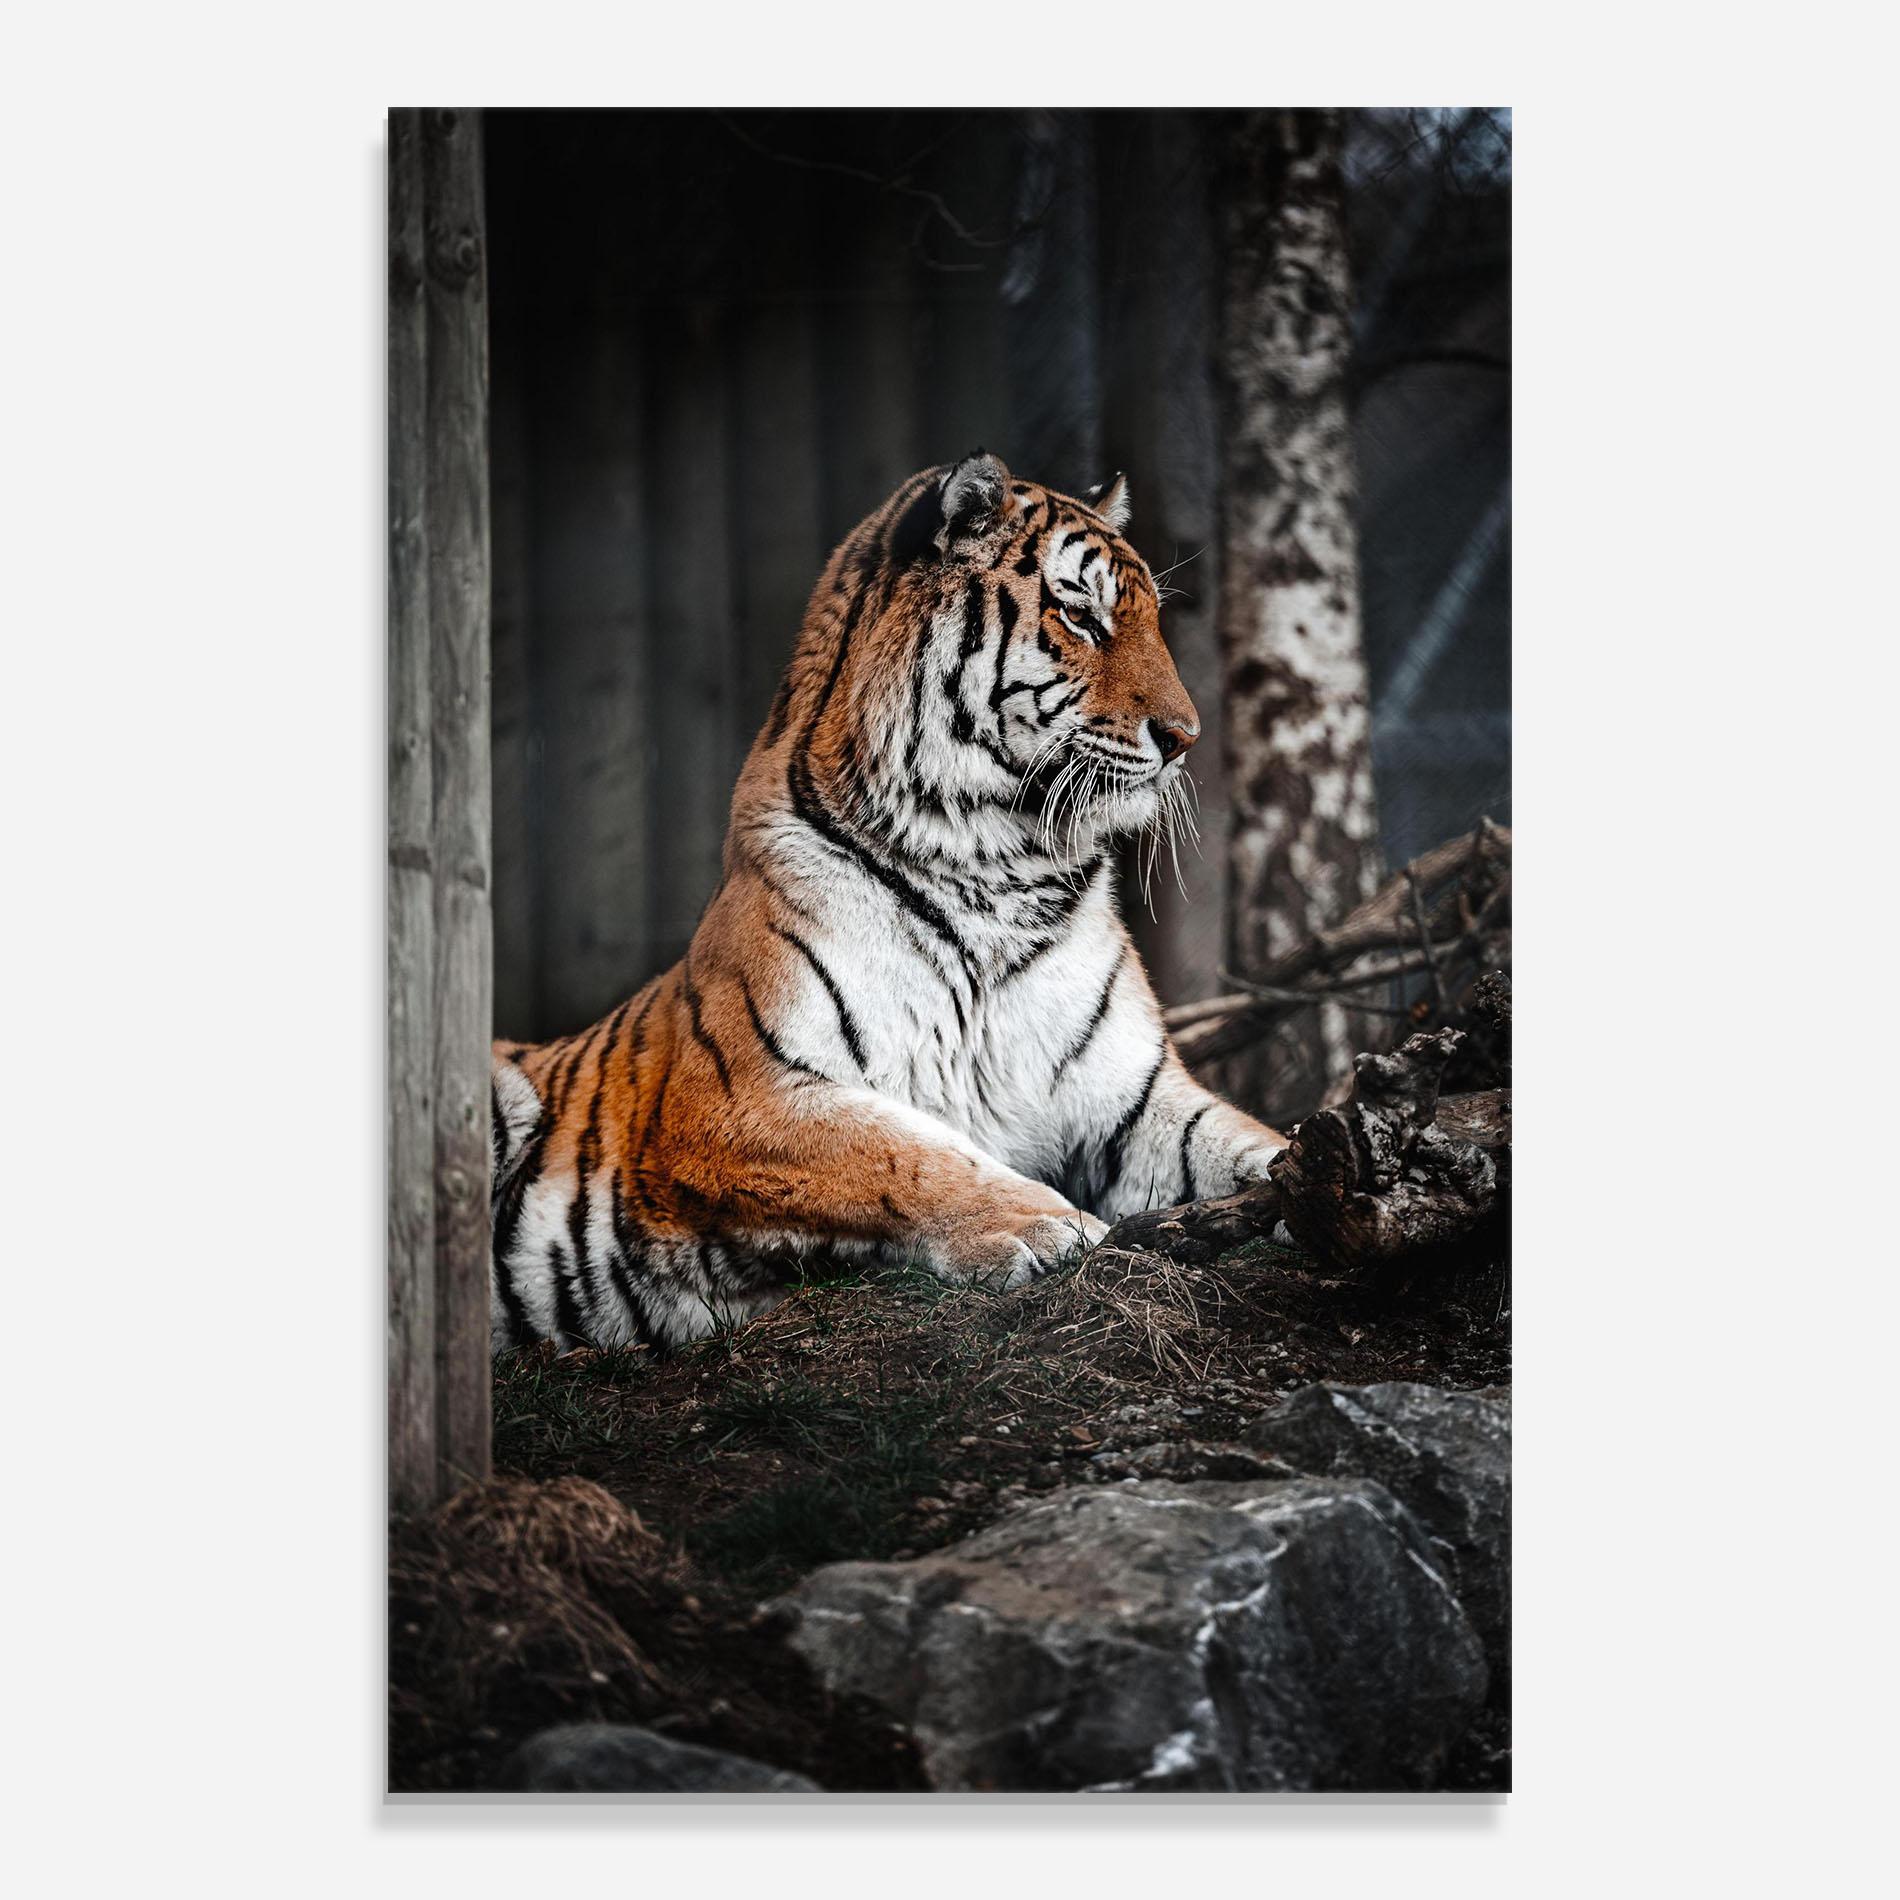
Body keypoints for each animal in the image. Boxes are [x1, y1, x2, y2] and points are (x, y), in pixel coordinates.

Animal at [489, 451, 1287, 1352]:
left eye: (1151, 618)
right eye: (1079, 615)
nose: (1185, 739)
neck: (1000, 867)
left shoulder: (1134, 1101)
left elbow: (1245, 1139)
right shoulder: (735, 1097)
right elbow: (905, 1153)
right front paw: (1044, 1225)